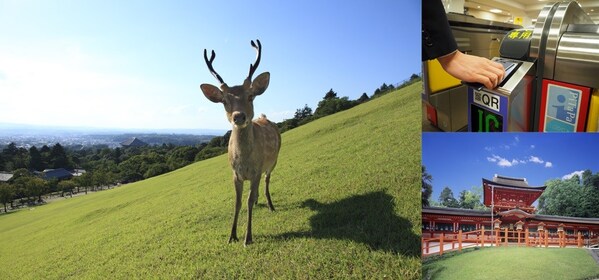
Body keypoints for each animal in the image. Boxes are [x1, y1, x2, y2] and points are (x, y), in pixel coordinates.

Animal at [198, 39, 280, 245]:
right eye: (224, 101)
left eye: (250, 96)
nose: (239, 116)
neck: (244, 162)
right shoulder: (235, 174)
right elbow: (237, 202)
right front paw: (232, 235)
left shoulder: (257, 170)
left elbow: (248, 201)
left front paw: (248, 238)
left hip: (273, 161)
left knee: (267, 181)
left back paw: (270, 205)